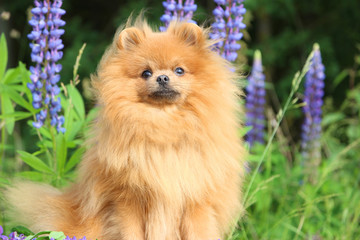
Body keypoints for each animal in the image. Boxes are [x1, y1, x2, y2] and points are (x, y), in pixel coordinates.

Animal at [5, 17, 246, 239]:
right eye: (146, 73)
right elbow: (131, 231)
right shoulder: (127, 198)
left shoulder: (196, 198)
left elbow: (199, 231)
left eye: (179, 70)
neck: (163, 123)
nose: (162, 77)